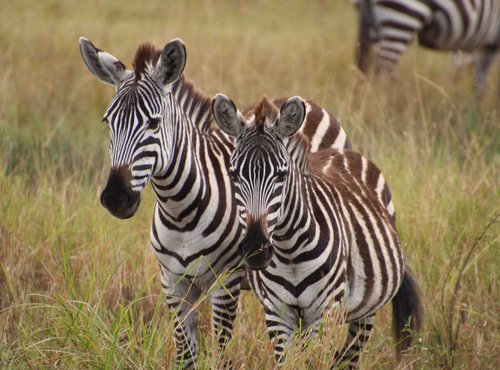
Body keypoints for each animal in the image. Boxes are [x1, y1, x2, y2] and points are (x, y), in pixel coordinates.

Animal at [79, 36, 352, 368]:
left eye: (153, 123)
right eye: (108, 121)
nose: (116, 198)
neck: (180, 213)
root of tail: (312, 105)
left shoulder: (227, 281)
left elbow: (220, 348)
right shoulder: (172, 282)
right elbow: (185, 352)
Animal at [211, 93, 422, 368]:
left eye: (282, 175)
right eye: (234, 174)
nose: (256, 250)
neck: (289, 251)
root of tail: (340, 152)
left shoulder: (324, 312)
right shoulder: (278, 312)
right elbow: (289, 361)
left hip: (365, 312)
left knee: (350, 355)